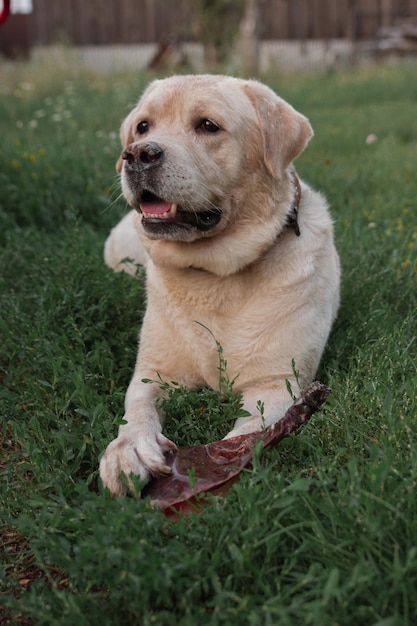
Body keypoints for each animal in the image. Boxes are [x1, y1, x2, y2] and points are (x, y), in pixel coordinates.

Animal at [99, 74, 340, 492]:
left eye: (208, 126)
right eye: (143, 126)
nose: (138, 154)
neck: (213, 277)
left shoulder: (276, 382)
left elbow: (249, 432)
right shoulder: (154, 370)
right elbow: (137, 408)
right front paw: (128, 446)